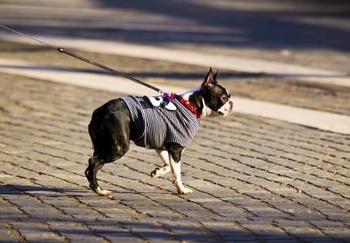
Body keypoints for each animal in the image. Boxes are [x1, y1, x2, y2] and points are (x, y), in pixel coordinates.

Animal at [85, 68, 232, 197]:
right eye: (224, 98)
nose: (231, 104)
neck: (190, 105)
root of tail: (100, 111)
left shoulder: (161, 145)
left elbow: (168, 165)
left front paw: (158, 172)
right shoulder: (176, 148)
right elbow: (177, 172)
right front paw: (182, 189)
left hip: (102, 145)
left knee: (91, 166)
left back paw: (98, 189)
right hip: (118, 148)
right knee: (93, 163)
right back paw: (99, 190)